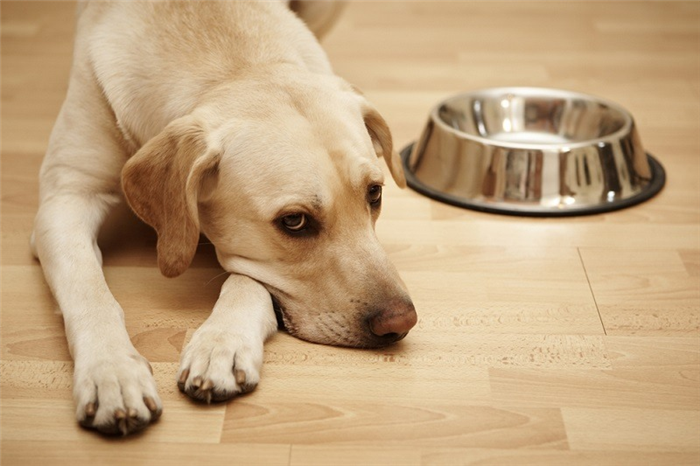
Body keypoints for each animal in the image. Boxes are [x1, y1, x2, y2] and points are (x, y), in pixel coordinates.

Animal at [31, 0, 416, 436]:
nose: (401, 321)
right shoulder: (65, 198)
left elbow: (247, 281)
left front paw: (222, 344)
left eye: (375, 193)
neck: (234, 64)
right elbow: (88, 290)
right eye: (295, 222)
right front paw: (112, 372)